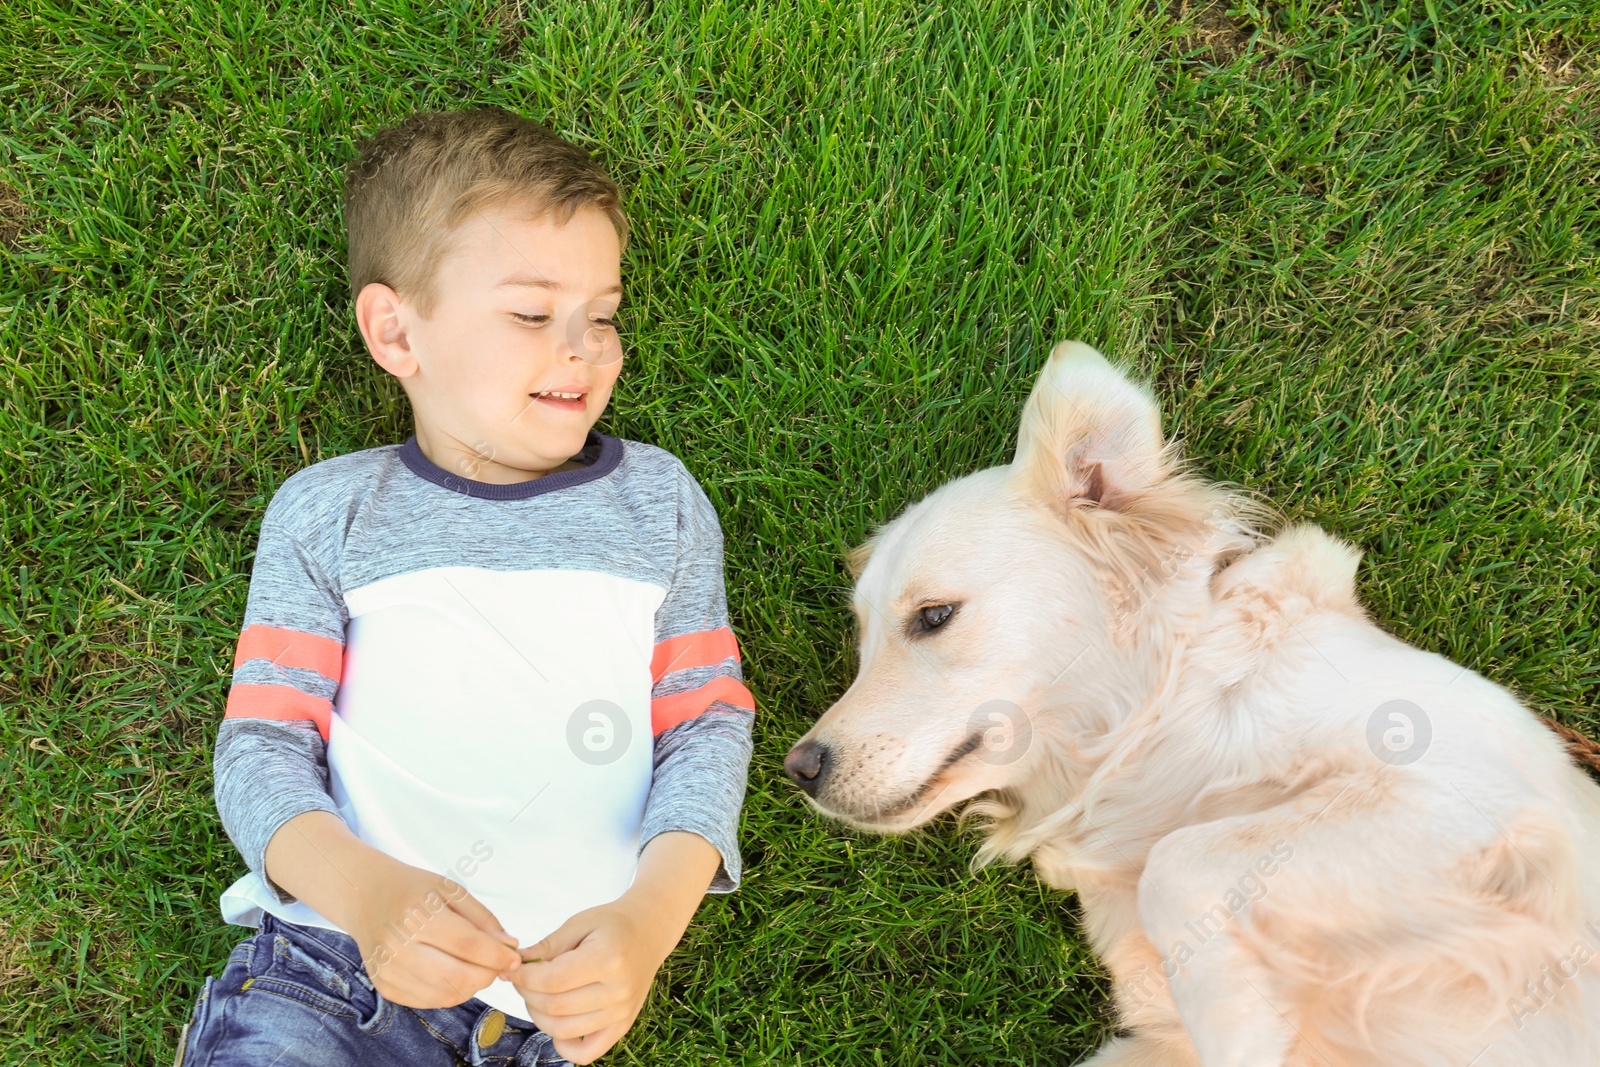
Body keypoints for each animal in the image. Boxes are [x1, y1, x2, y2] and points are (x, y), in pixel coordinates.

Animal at [780, 343, 1600, 1067]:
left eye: (934, 616)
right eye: (861, 636)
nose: (800, 769)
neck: (1162, 727)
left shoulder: (1467, 793)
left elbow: (1179, 863)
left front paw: (1246, 1033)